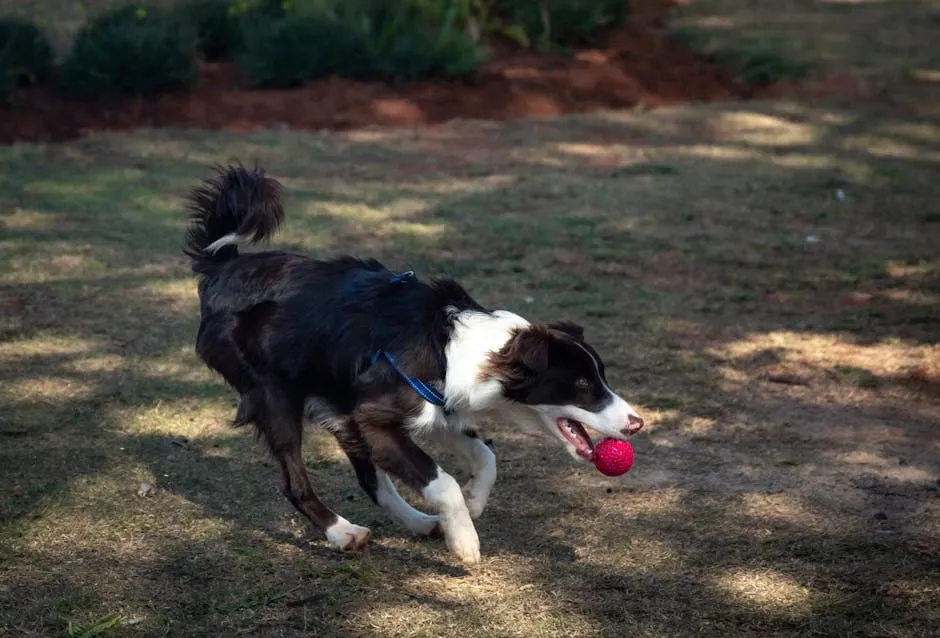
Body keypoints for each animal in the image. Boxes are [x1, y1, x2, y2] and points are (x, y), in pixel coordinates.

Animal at [184, 165, 640, 564]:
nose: (637, 424)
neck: (458, 350)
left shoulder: (440, 410)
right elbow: (442, 480)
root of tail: (224, 265)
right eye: (582, 384)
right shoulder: (375, 418)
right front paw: (465, 541)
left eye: (601, 376)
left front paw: (473, 503)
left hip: (335, 404)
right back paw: (342, 532)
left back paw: (419, 523)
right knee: (296, 483)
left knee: (372, 480)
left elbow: (486, 459)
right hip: (275, 395)